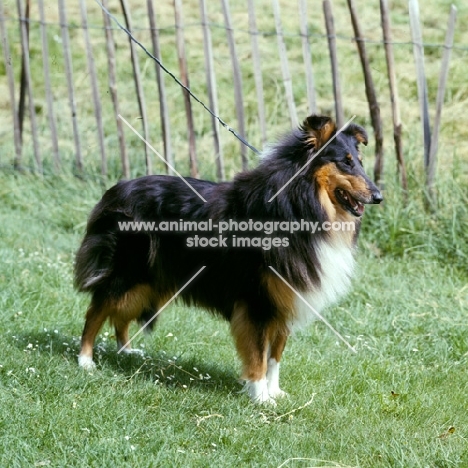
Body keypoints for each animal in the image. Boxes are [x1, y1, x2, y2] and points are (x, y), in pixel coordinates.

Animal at [75, 115, 382, 404]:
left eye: (360, 162)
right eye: (345, 163)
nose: (378, 196)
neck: (298, 206)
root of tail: (117, 189)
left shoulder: (286, 298)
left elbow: (275, 356)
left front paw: (275, 392)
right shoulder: (257, 300)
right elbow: (258, 354)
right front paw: (260, 398)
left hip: (151, 280)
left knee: (120, 314)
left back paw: (127, 351)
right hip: (129, 271)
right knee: (97, 309)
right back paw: (86, 361)